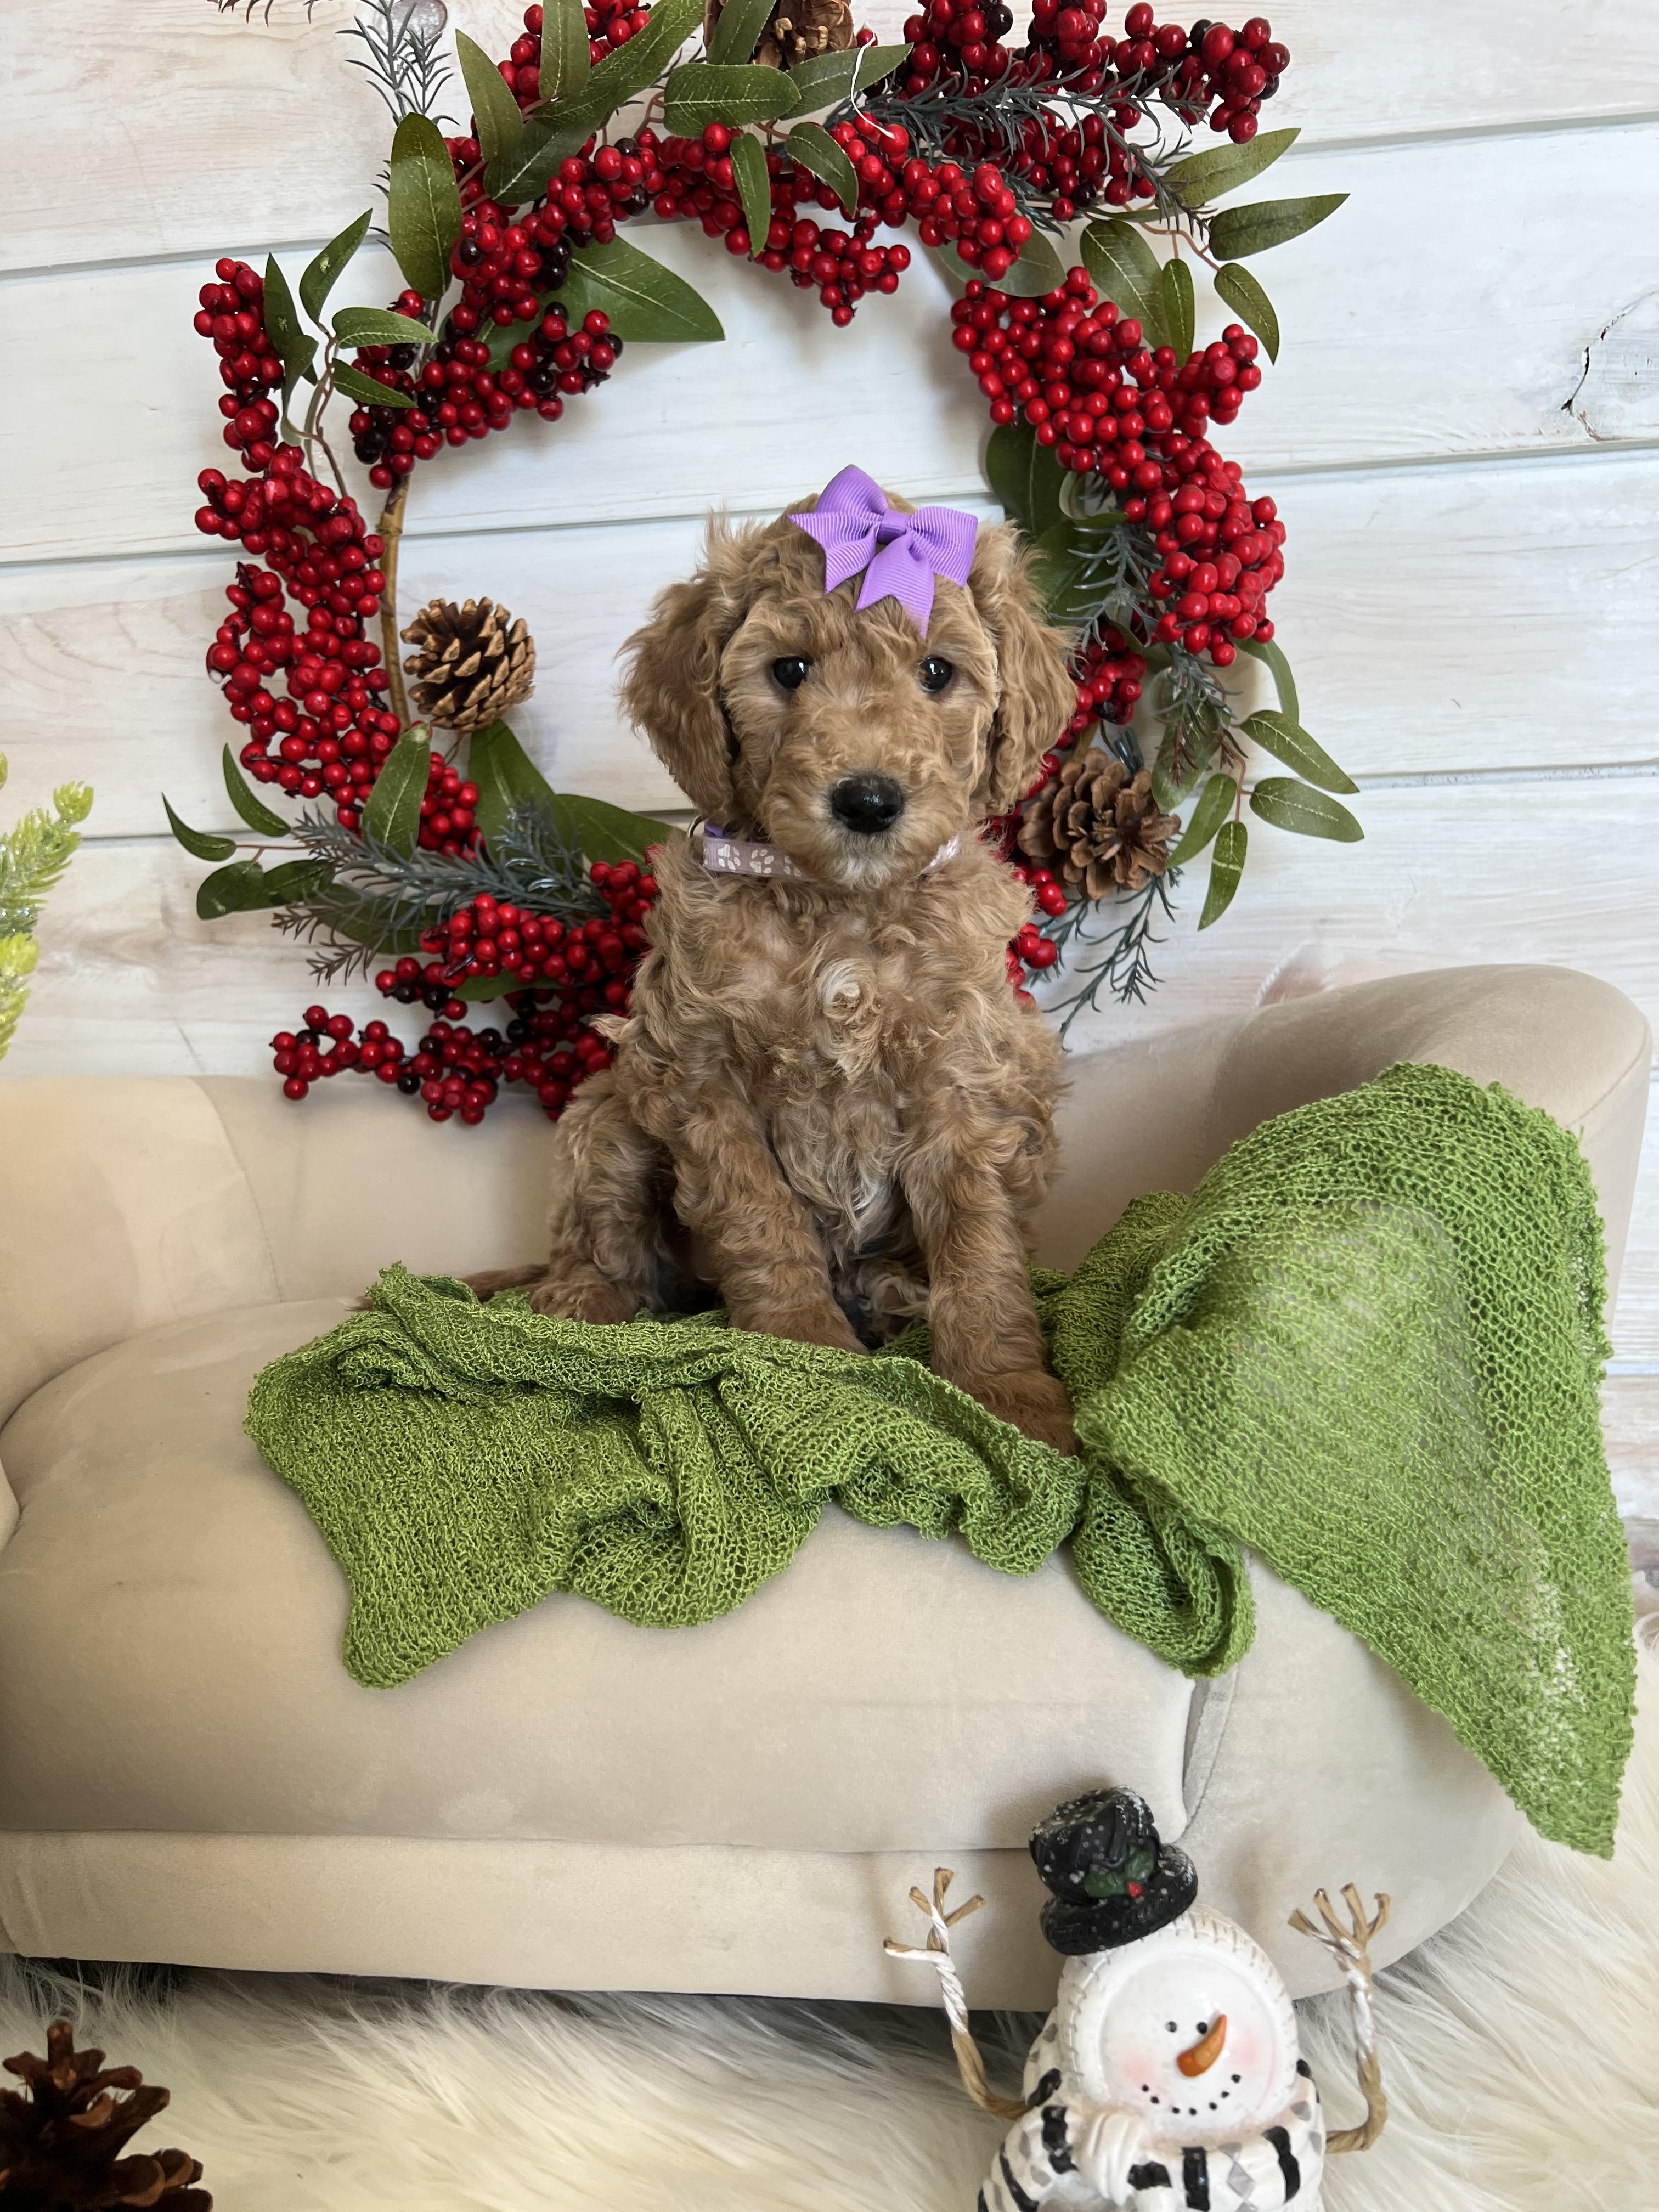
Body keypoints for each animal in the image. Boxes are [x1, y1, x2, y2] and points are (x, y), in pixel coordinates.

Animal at [473, 472, 1078, 1452]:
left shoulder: (964, 1079)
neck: (838, 908)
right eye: (789, 671)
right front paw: (807, 1355)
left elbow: (980, 1246)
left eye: (937, 673)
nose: (868, 800)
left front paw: (1010, 1396)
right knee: (608, 1249)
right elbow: (761, 1220)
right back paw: (573, 1309)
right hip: (611, 1117)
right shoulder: (700, 1073)